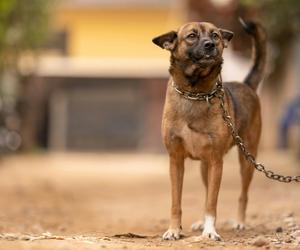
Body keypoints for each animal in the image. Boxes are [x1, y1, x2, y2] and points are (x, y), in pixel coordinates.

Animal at [154, 20, 266, 240]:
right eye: (191, 36)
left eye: (215, 35)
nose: (210, 45)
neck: (194, 93)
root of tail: (247, 85)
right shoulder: (176, 161)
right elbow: (176, 202)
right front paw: (174, 229)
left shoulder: (216, 161)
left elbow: (212, 203)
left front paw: (210, 231)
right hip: (204, 167)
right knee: (207, 193)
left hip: (246, 160)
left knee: (243, 195)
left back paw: (240, 222)